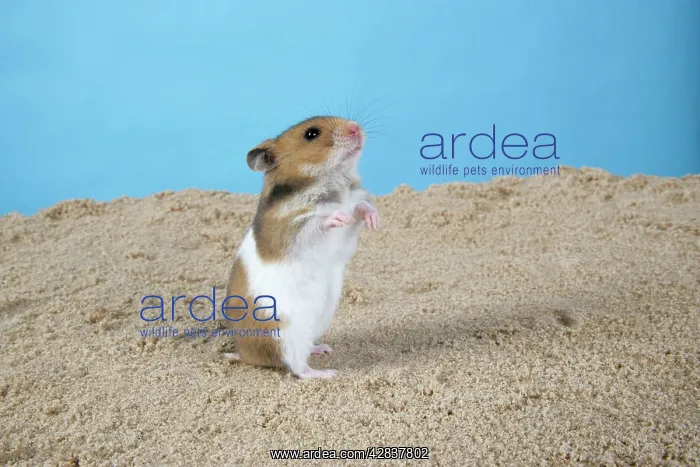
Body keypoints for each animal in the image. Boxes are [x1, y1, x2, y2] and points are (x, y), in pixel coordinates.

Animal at [222, 116, 380, 379]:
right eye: (311, 134)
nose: (355, 127)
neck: (334, 180)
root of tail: (245, 355)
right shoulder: (292, 230)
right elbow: (318, 219)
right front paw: (338, 217)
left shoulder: (354, 203)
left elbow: (361, 207)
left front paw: (375, 221)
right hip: (285, 337)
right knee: (298, 369)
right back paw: (327, 373)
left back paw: (323, 349)